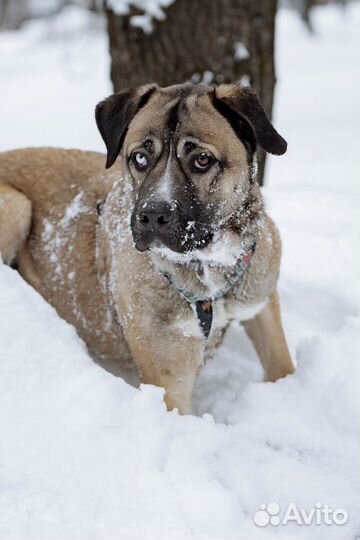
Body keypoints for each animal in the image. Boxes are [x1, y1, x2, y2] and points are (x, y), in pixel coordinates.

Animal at [0, 83, 294, 414]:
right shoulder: (169, 375)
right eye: (140, 158)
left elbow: (282, 364)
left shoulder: (260, 292)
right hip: (15, 205)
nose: (153, 215)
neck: (208, 268)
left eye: (202, 160)